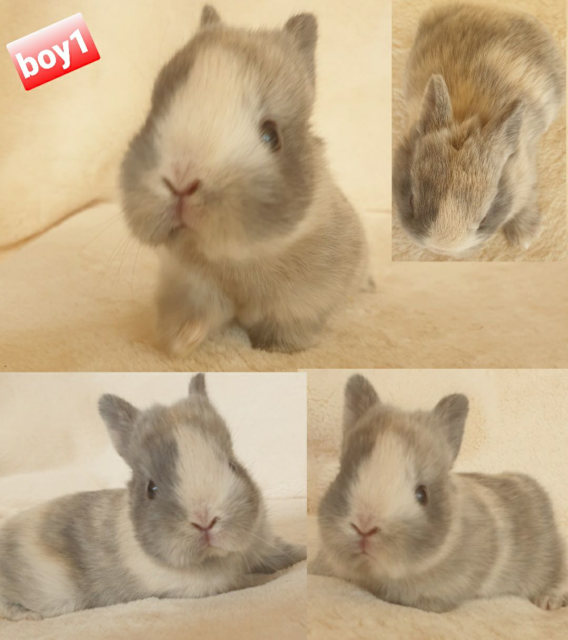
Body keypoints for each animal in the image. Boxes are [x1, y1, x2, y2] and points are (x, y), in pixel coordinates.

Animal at [0, 374, 305, 620]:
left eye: (233, 465)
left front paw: (300, 553)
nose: (205, 521)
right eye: (151, 488)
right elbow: (247, 581)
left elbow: (279, 553)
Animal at [120, 5, 367, 355]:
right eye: (153, 111)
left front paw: (273, 349)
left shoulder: (307, 297)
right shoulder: (185, 282)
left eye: (271, 136)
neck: (239, 258)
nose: (181, 181)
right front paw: (183, 341)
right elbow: (194, 313)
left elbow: (290, 324)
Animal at [393, 3, 565, 257]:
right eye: (412, 200)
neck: (467, 115)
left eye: (485, 217)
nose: (442, 248)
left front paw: (524, 237)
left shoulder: (526, 165)